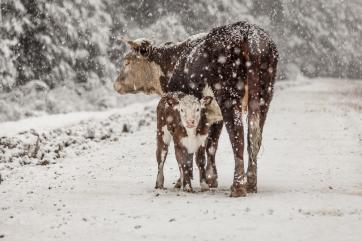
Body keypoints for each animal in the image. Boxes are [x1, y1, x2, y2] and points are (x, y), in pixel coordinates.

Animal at [114, 21, 278, 198]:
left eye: (127, 61)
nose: (116, 84)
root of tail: (248, 31)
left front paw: (182, 182)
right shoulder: (213, 115)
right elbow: (211, 145)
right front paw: (211, 179)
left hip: (228, 97)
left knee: (238, 136)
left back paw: (238, 187)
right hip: (263, 96)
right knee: (254, 137)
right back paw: (251, 183)